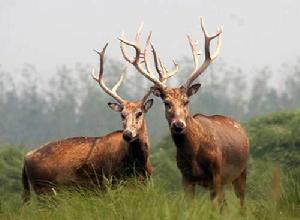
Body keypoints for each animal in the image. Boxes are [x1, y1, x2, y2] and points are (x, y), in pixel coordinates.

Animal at [22, 41, 155, 203]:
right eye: (122, 114)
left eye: (139, 113)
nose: (127, 134)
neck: (139, 165)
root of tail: (26, 158)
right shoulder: (112, 182)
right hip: (44, 189)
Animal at [118, 18, 250, 207]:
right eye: (166, 103)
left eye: (186, 101)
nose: (179, 125)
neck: (194, 155)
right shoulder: (185, 178)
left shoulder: (216, 174)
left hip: (241, 171)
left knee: (241, 202)